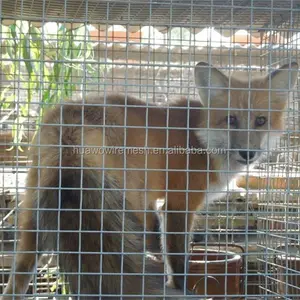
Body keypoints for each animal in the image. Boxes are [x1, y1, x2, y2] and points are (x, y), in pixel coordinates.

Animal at [0, 61, 298, 298]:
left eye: (261, 121)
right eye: (231, 120)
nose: (248, 153)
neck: (201, 140)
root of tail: (70, 122)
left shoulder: (160, 205)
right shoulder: (178, 204)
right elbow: (177, 262)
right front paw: (180, 290)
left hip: (36, 215)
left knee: (18, 275)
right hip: (126, 204)